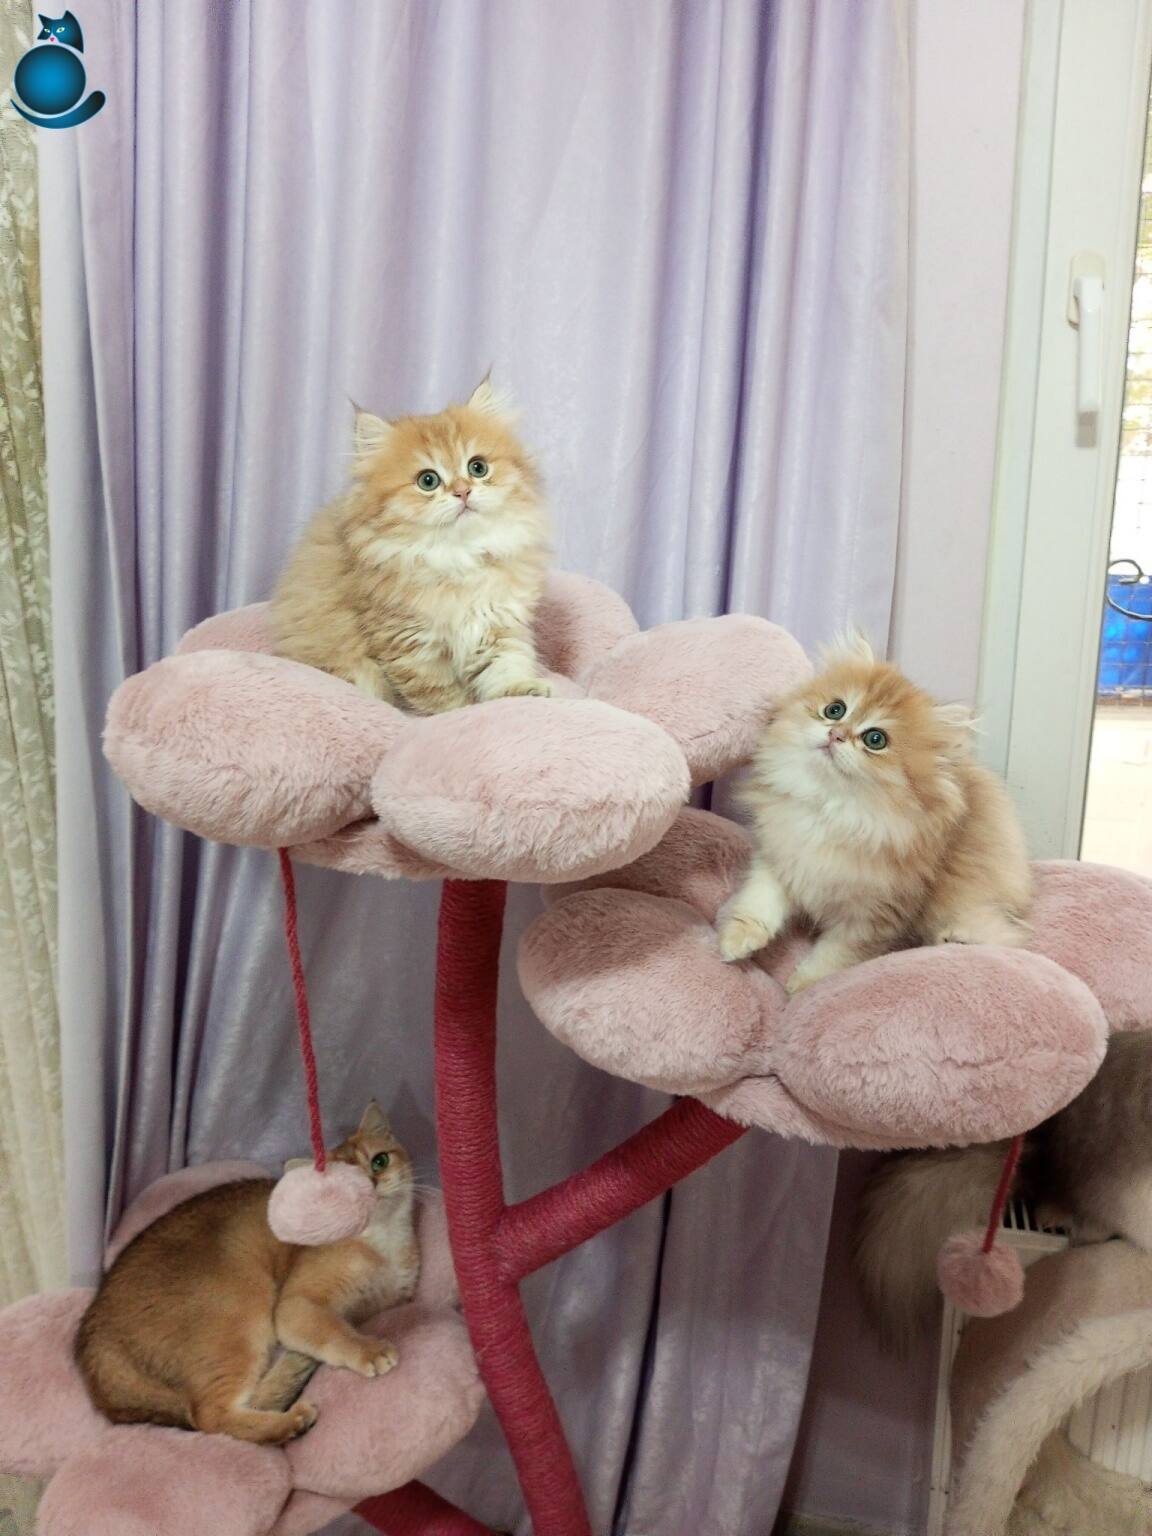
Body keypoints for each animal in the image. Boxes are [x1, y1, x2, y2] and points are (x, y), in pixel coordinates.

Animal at [75, 1103, 417, 1445]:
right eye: (337, 1193)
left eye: (379, 1161)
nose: (372, 1187)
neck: (383, 1243)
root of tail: (93, 1339)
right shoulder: (296, 1306)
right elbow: (335, 1330)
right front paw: (370, 1350)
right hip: (241, 1312)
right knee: (210, 1416)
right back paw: (291, 1422)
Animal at [270, 380, 554, 714]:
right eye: (428, 481)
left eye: (478, 468)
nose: (463, 491)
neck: (459, 559)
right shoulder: (410, 645)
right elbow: (443, 697)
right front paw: (458, 712)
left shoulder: (498, 624)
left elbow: (505, 668)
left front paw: (522, 691)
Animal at [715, 638, 1032, 994]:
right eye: (835, 710)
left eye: (875, 739)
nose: (836, 734)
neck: (831, 809)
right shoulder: (779, 860)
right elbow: (758, 903)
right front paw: (738, 940)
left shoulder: (873, 914)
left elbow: (833, 956)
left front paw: (802, 988)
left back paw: (956, 938)